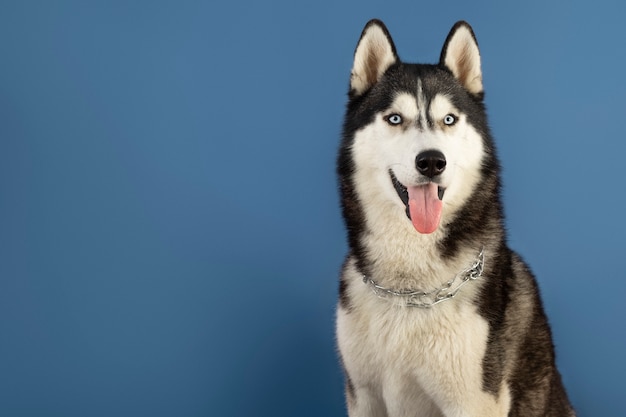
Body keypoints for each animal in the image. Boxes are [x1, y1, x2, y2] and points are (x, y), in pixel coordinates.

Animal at [334, 20, 572, 416]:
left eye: (449, 119)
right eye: (394, 118)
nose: (432, 161)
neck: (409, 291)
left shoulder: (472, 401)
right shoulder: (363, 396)